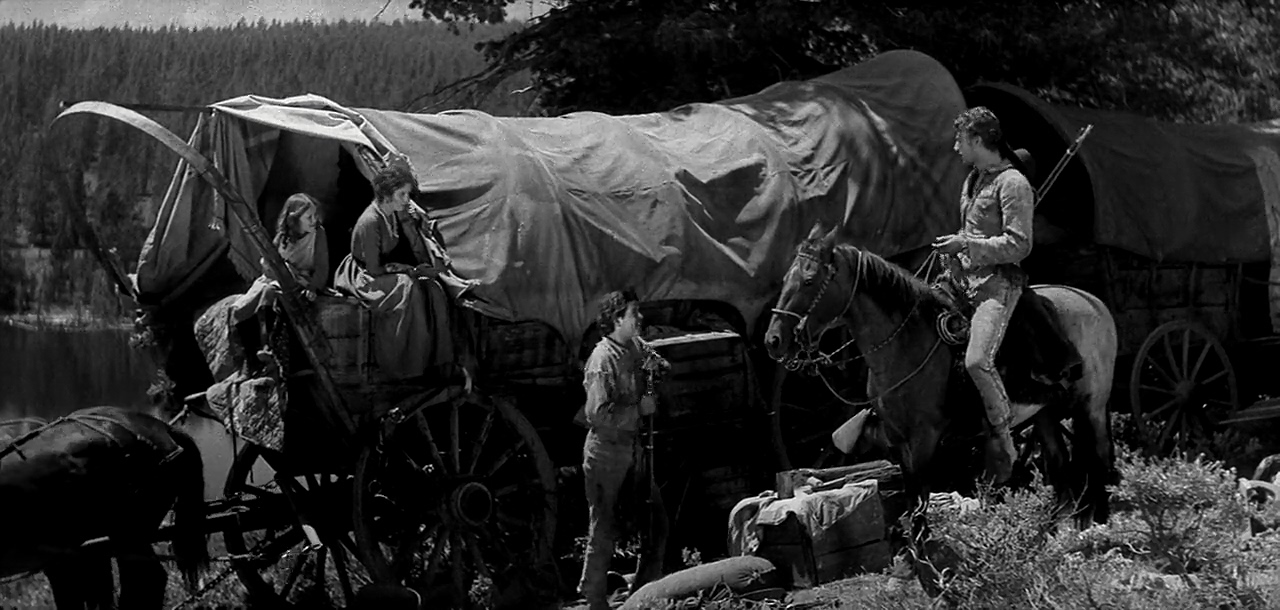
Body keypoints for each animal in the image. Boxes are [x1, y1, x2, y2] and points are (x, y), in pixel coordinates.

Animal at [762, 223, 1116, 585]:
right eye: (786, 278)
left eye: (809, 280)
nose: (773, 340)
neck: (906, 344)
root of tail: (1095, 303)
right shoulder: (898, 442)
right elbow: (911, 499)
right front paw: (911, 566)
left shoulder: (924, 441)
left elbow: (920, 501)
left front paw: (929, 570)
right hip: (1045, 413)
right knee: (1060, 465)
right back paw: (1057, 537)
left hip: (1091, 406)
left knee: (1098, 456)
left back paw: (1099, 530)